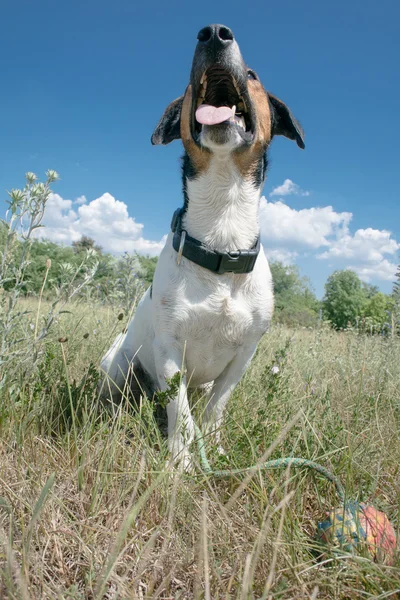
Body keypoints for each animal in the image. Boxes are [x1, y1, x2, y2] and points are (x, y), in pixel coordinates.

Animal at [100, 23, 304, 466]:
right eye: (187, 83)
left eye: (253, 75)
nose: (214, 32)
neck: (220, 238)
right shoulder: (169, 350)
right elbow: (180, 412)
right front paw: (181, 461)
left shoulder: (243, 355)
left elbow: (215, 408)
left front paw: (213, 447)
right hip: (117, 367)